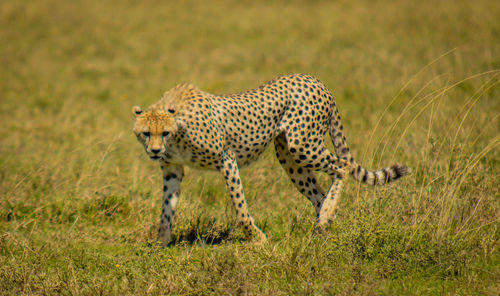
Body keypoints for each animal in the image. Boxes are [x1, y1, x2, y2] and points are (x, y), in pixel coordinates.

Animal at [133, 74, 410, 245]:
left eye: (164, 132)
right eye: (146, 133)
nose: (155, 151)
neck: (178, 128)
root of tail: (315, 80)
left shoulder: (227, 159)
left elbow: (240, 207)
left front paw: (257, 238)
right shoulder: (173, 169)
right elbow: (167, 209)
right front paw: (161, 242)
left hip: (303, 146)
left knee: (342, 166)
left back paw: (326, 217)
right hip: (289, 158)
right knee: (319, 194)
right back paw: (322, 228)